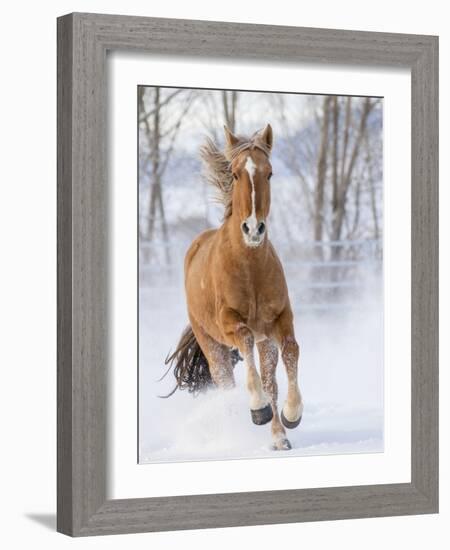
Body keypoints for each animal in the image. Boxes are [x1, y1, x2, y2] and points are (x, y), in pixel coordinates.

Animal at [163, 125, 304, 452]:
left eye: (269, 173)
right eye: (237, 174)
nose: (253, 229)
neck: (249, 267)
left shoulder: (280, 320)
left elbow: (292, 350)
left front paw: (292, 414)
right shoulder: (231, 324)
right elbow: (245, 341)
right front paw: (258, 409)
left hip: (265, 342)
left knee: (270, 382)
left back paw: (279, 437)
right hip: (211, 345)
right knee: (226, 384)